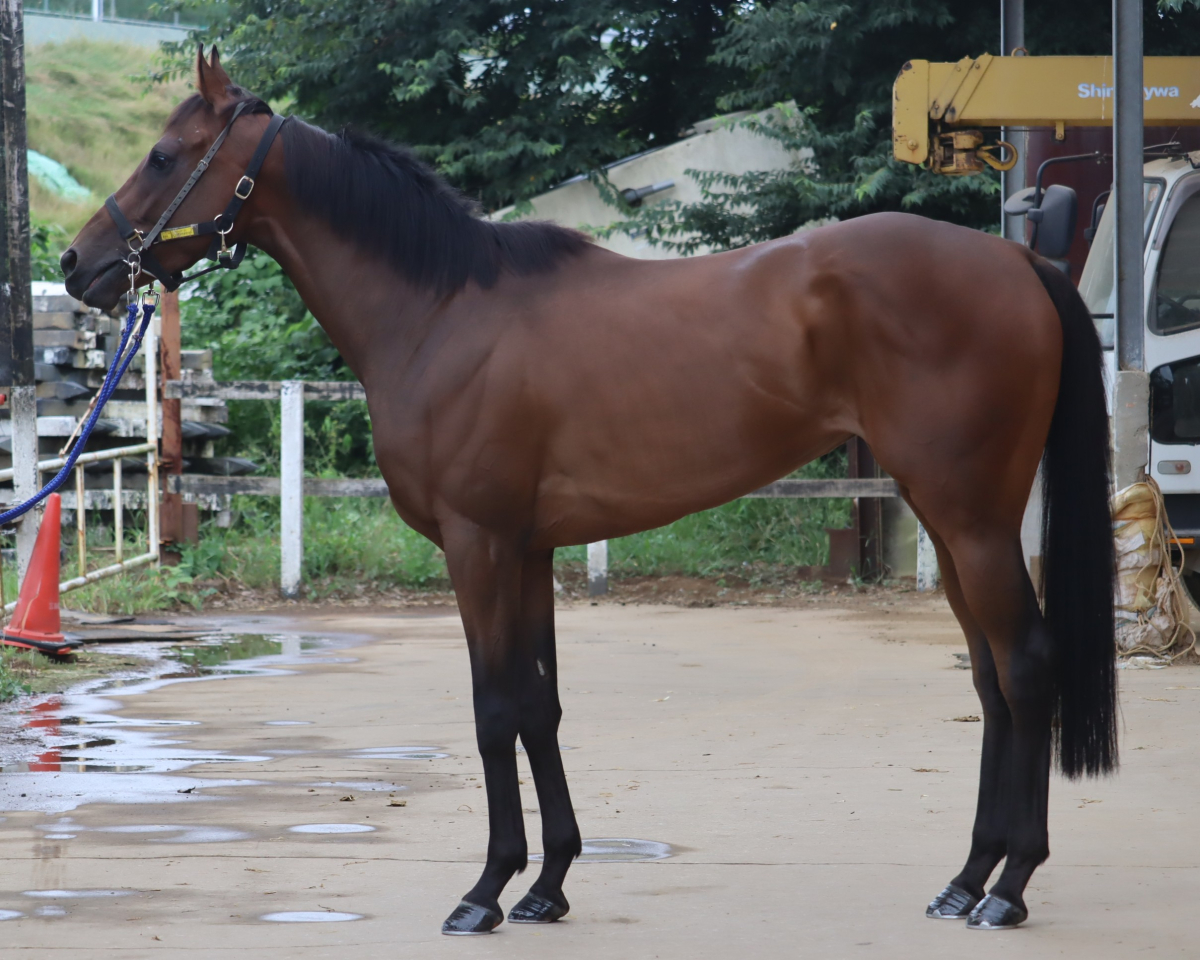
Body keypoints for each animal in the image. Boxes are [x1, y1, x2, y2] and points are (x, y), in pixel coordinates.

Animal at [61, 48, 1116, 935]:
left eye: (163, 155)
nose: (78, 265)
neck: (440, 309)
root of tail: (1015, 257)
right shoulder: (528, 549)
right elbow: (541, 708)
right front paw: (549, 885)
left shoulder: (479, 545)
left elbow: (493, 709)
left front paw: (485, 891)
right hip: (948, 520)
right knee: (990, 679)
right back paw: (966, 880)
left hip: (972, 519)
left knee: (1026, 666)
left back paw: (1010, 889)